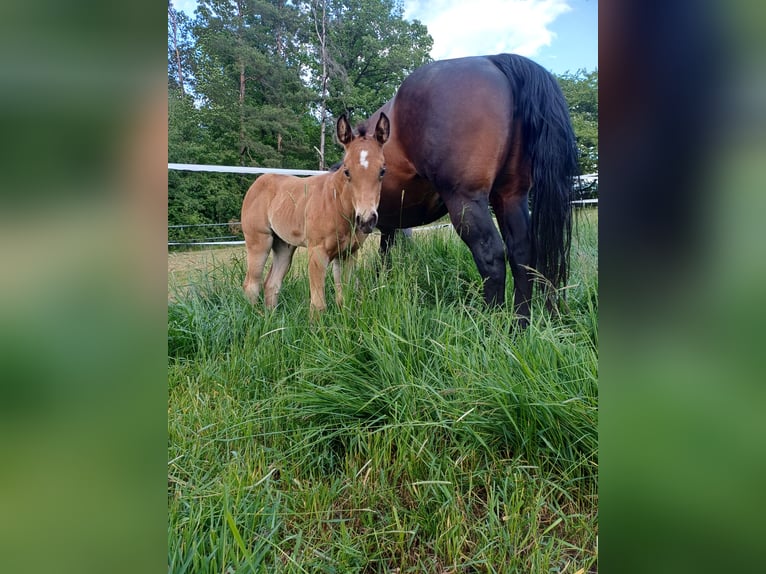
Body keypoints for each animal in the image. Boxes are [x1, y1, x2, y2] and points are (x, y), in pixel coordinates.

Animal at [241, 113, 390, 315]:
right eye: (347, 171)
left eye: (382, 171)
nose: (366, 220)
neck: (337, 206)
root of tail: (257, 182)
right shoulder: (317, 252)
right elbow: (318, 305)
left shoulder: (348, 253)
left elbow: (345, 297)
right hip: (259, 241)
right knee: (252, 284)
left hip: (284, 245)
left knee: (272, 284)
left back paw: (270, 319)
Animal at [358, 53, 578, 327]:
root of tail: (493, 60)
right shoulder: (390, 227)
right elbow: (384, 255)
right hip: (510, 196)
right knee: (521, 253)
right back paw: (519, 325)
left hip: (465, 200)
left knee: (491, 255)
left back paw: (490, 324)